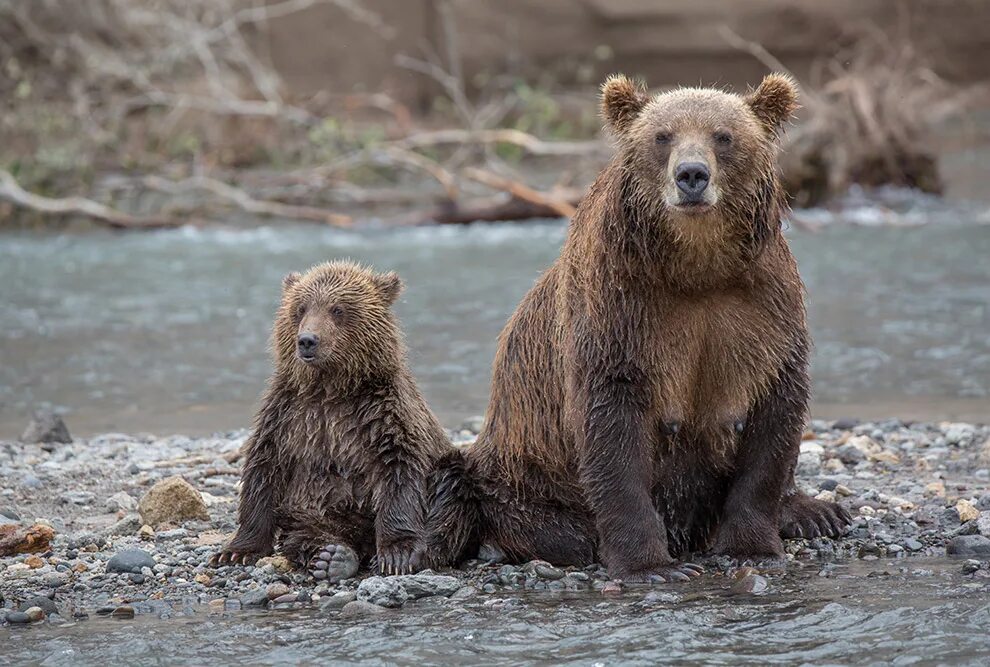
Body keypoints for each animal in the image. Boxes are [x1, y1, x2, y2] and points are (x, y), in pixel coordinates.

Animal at [428, 74, 852, 584]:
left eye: (724, 136)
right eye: (662, 136)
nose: (691, 175)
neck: (697, 267)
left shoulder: (764, 310)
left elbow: (772, 419)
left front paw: (752, 546)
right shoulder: (620, 312)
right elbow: (613, 428)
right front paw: (651, 566)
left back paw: (817, 512)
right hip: (523, 482)